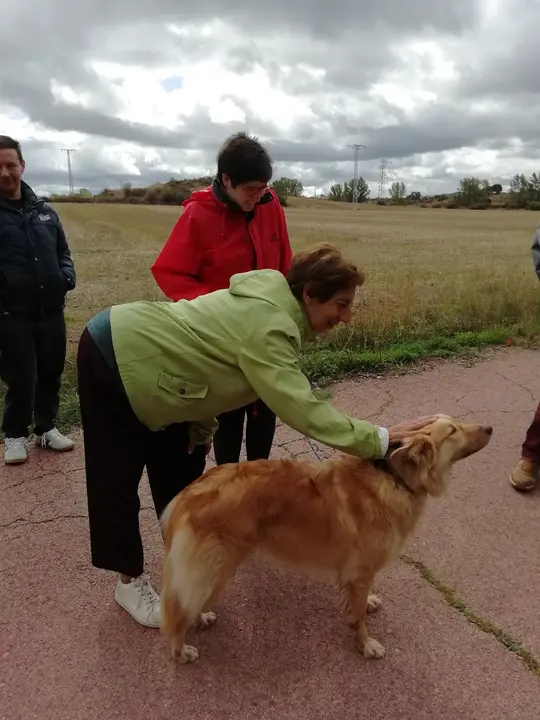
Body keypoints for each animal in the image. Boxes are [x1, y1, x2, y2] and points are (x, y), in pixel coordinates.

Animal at [158, 416, 492, 664]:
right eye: (452, 430)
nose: (489, 428)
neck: (393, 478)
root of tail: (187, 495)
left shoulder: (358, 574)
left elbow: (359, 603)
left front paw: (368, 603)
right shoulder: (361, 571)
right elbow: (358, 618)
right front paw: (366, 645)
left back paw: (200, 618)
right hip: (215, 569)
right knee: (177, 612)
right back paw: (180, 650)